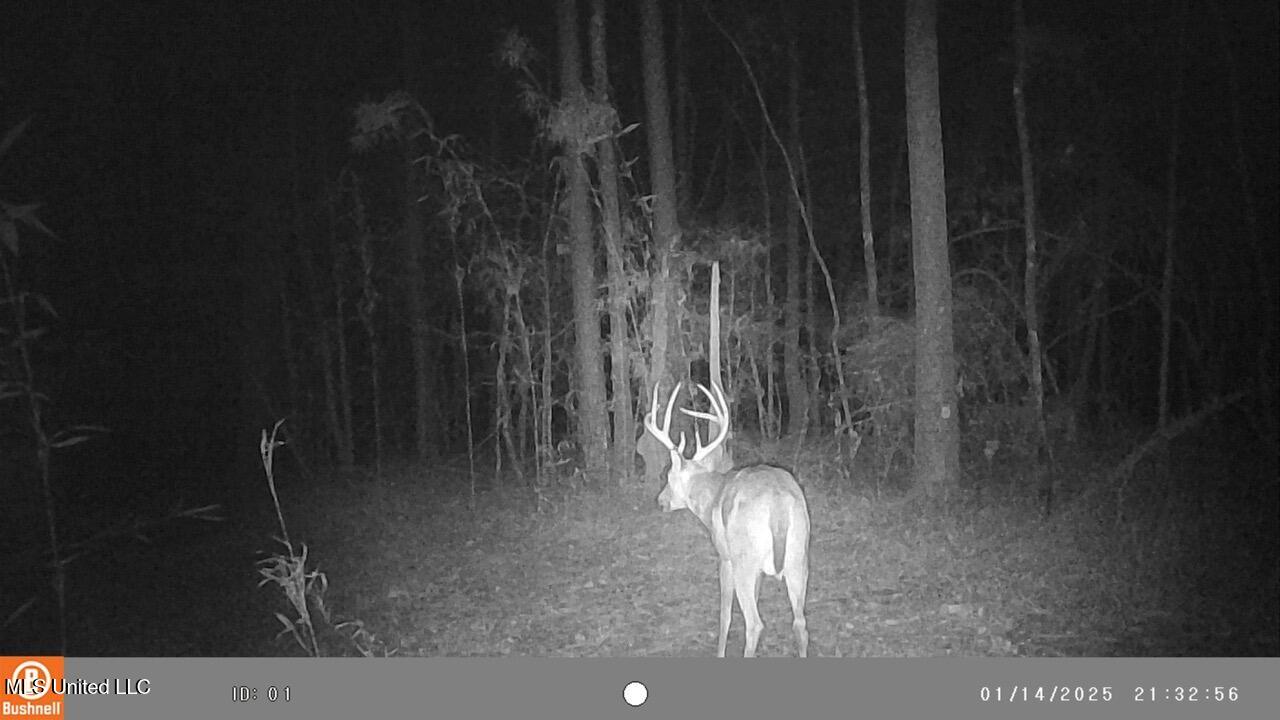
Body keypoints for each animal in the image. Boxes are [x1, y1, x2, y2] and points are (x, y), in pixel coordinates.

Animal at [645, 379, 811, 657]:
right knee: (800, 623)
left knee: (755, 624)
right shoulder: (758, 570)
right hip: (799, 556)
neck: (712, 495)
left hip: (745, 558)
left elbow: (725, 614)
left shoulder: (725, 556)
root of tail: (778, 504)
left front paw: (720, 651)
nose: (660, 500)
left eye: (667, 476)